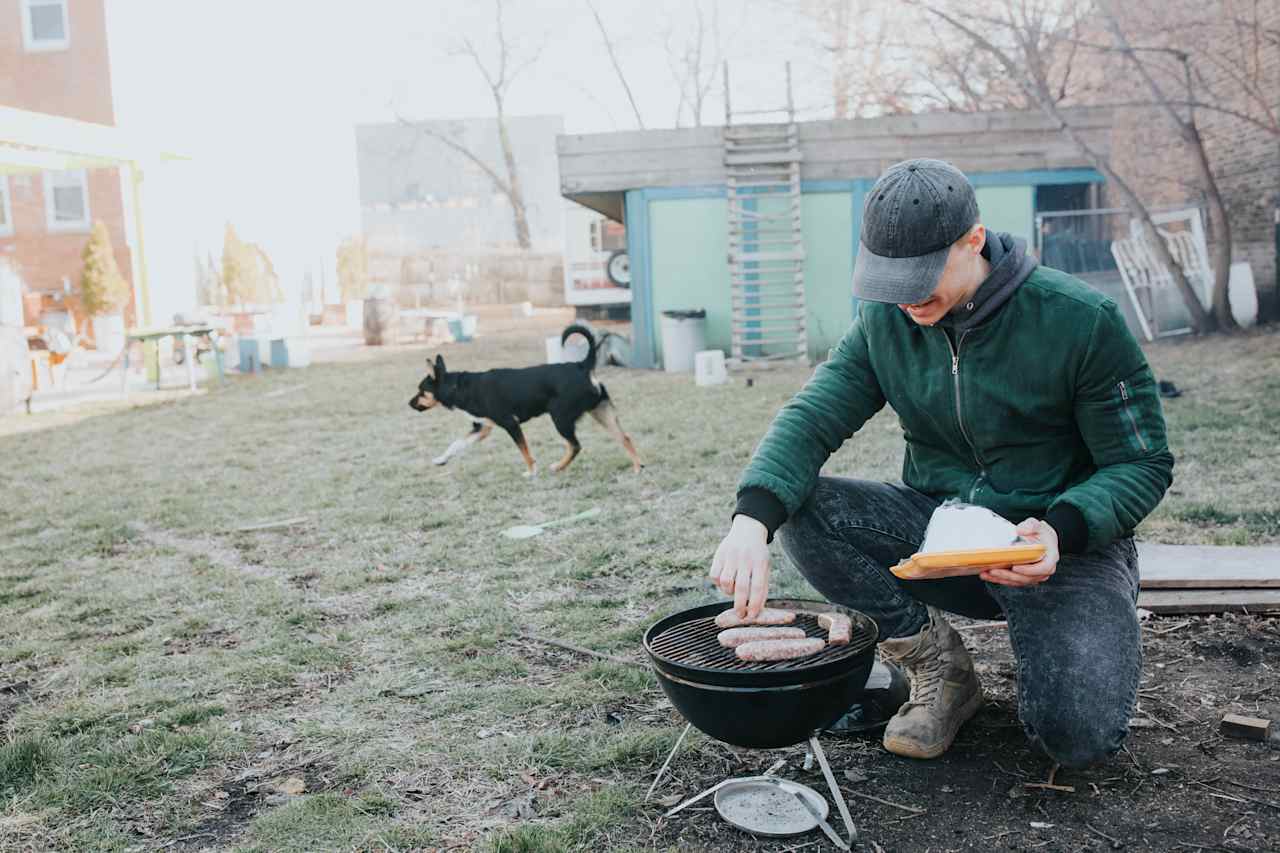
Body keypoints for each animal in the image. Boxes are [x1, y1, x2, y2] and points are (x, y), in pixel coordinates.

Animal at [409, 324, 645, 473]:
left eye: (420, 391)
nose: (409, 404)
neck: (458, 387)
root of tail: (581, 365)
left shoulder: (510, 423)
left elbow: (524, 451)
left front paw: (531, 471)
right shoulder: (482, 428)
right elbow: (457, 444)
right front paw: (441, 459)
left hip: (560, 418)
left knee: (575, 446)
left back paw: (558, 466)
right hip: (600, 412)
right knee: (624, 437)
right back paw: (637, 467)